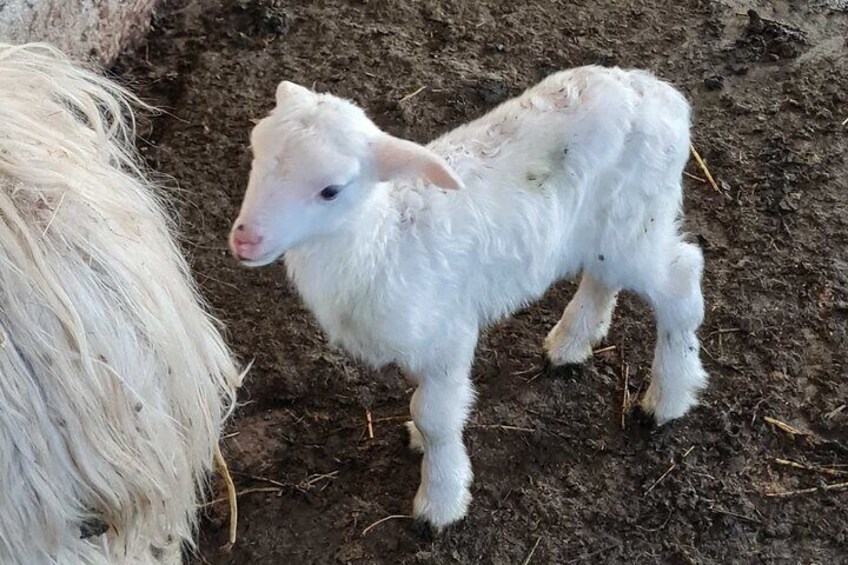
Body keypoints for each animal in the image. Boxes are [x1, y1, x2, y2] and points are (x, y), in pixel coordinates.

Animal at [230, 66, 708, 528]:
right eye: (255, 153)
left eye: (330, 190)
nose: (245, 240)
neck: (382, 239)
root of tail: (661, 94)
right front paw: (424, 445)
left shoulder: (449, 334)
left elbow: (434, 415)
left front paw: (440, 501)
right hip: (607, 232)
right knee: (603, 276)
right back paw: (571, 343)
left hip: (637, 221)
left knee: (681, 281)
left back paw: (667, 398)